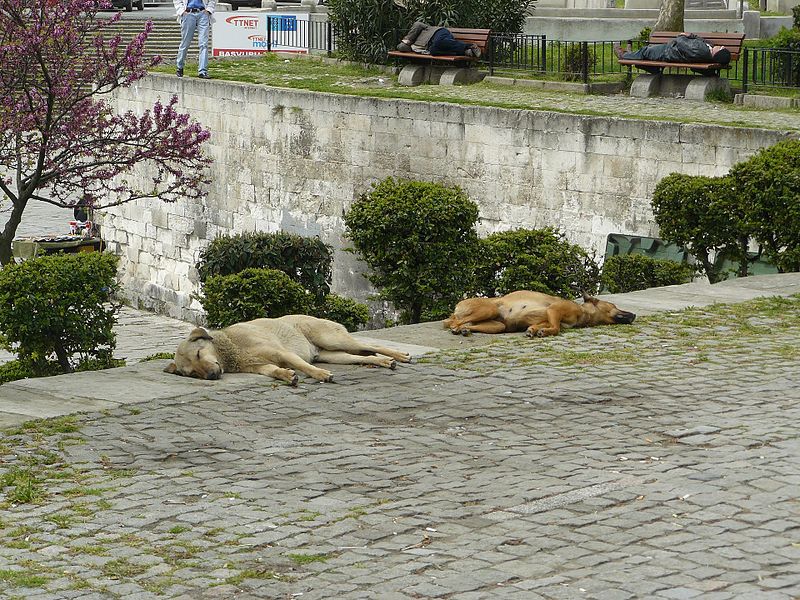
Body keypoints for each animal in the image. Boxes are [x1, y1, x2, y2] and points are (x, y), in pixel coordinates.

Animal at [164, 314, 412, 384]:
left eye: (199, 353)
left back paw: (399, 355)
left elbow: (300, 364)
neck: (231, 348)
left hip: (333, 339)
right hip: (333, 355)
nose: (211, 376)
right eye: (192, 373)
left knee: (373, 346)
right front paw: (286, 375)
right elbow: (274, 371)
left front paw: (319, 375)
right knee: (363, 356)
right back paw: (384, 362)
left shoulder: (281, 353)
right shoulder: (260, 366)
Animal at [444, 290, 636, 338]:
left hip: (498, 325)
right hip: (489, 309)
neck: (583, 312)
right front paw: (544, 332)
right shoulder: (554, 310)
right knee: (455, 323)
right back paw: (456, 328)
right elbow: (557, 328)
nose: (634, 314)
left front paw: (534, 330)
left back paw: (465, 330)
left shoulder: (546, 318)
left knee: (468, 324)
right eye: (614, 305)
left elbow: (541, 325)